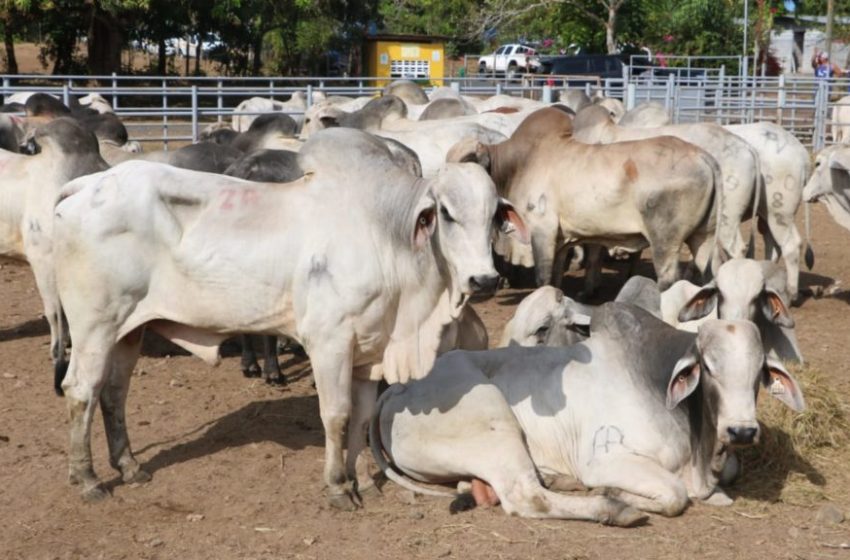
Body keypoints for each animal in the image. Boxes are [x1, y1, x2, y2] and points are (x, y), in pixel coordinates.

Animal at [370, 304, 800, 520]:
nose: (742, 431)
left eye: (760, 371)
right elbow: (675, 495)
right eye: (709, 366)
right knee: (527, 498)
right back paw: (612, 508)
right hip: (493, 421)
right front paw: (613, 492)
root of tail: (399, 388)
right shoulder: (606, 458)